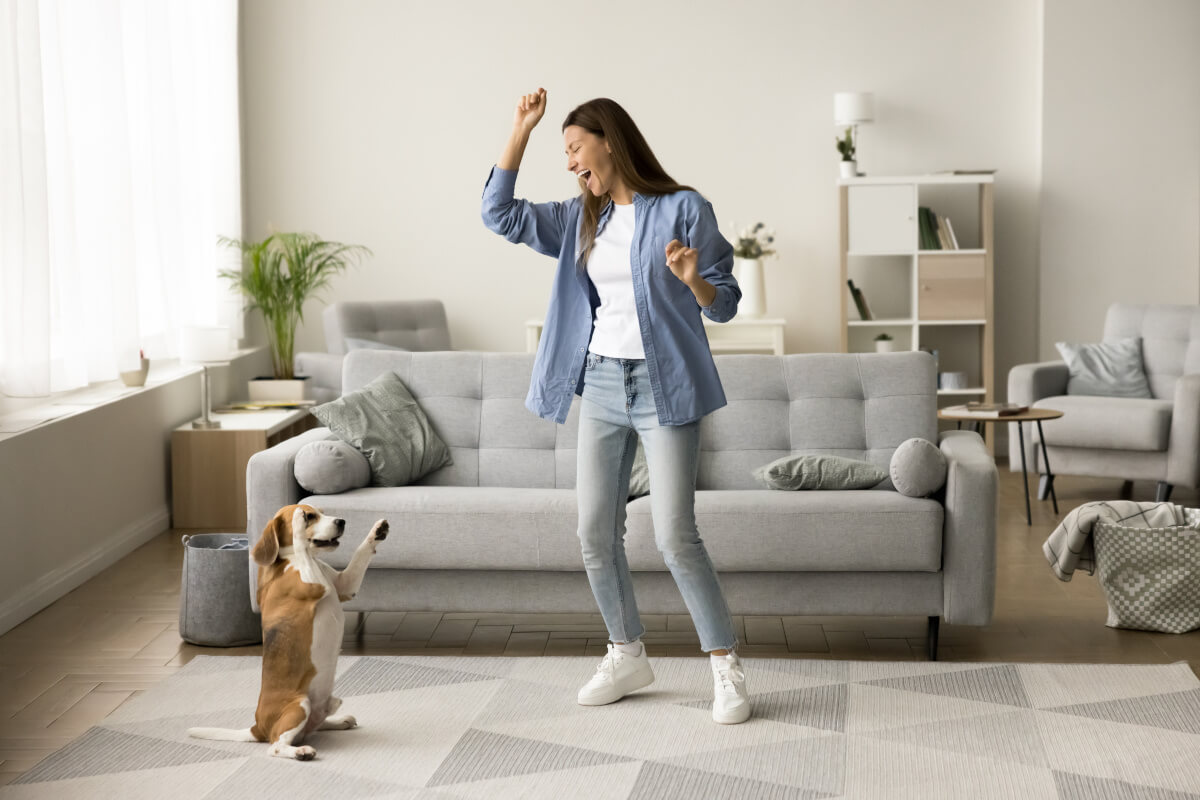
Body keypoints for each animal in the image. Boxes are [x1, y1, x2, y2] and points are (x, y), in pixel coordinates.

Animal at [186, 503, 388, 762]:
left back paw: (339, 720)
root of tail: (257, 727)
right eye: (311, 516)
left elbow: (361, 553)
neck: (292, 560)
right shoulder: (315, 585)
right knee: (276, 745)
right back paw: (301, 751)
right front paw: (297, 525)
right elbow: (301, 543)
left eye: (323, 513)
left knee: (312, 726)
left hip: (320, 705)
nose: (341, 521)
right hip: (299, 705)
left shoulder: (345, 585)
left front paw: (377, 531)